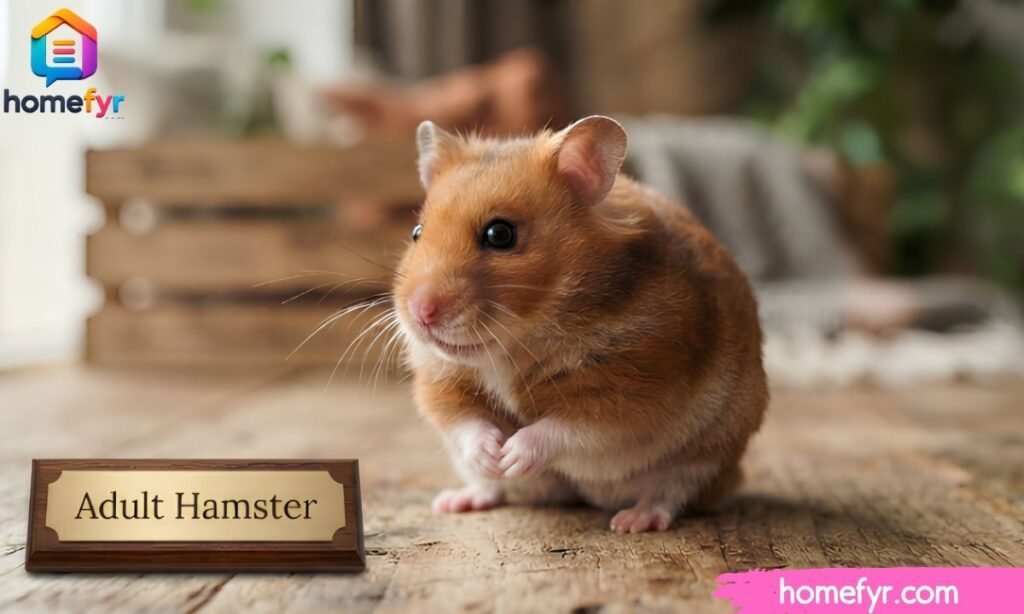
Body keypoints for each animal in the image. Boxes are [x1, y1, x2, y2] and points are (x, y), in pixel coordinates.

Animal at [392, 115, 768, 533]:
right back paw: (454, 501)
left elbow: (565, 429)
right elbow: (464, 421)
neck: (512, 345)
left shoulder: (631, 394)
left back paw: (632, 521)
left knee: (670, 494)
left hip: (704, 457)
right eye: (417, 233)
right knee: (490, 487)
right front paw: (492, 456)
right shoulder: (441, 381)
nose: (420, 313)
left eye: (499, 234)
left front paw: (511, 455)